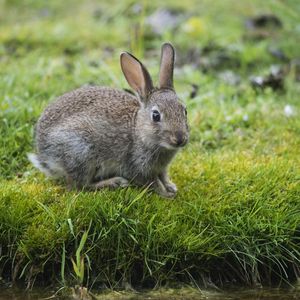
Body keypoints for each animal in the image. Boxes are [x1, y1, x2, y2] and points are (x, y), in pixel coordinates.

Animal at [27, 41, 188, 197]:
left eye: (184, 110)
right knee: (80, 186)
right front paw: (166, 193)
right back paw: (114, 182)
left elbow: (163, 176)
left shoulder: (161, 168)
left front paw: (171, 187)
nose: (180, 139)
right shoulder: (137, 166)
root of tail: (45, 155)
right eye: (156, 116)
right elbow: (152, 182)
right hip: (81, 152)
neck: (138, 131)